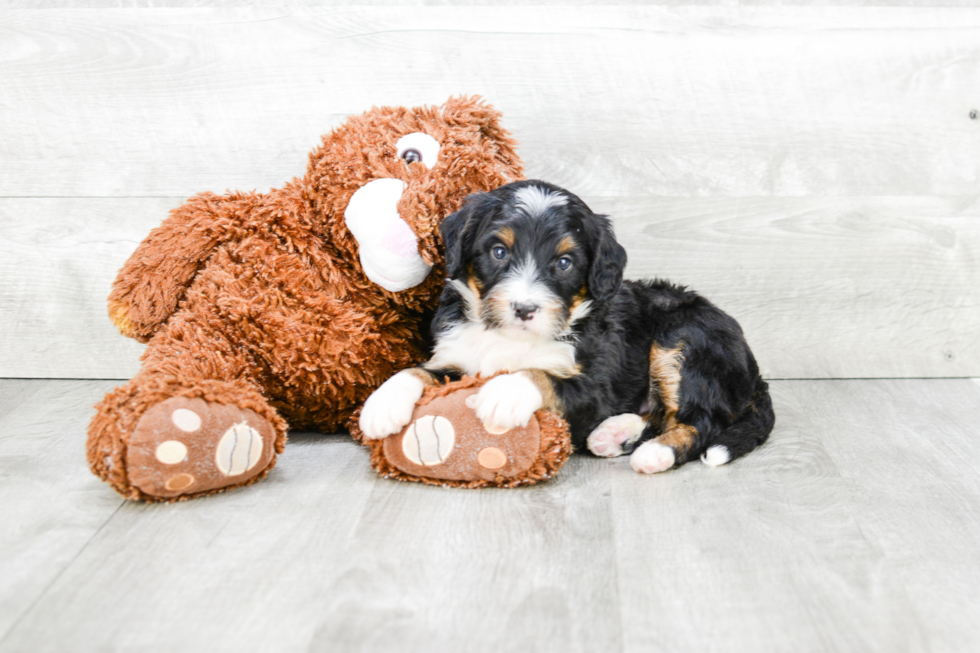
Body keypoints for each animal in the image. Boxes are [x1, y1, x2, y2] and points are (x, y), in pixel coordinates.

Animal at [360, 180, 772, 474]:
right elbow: (420, 370)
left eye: (564, 263)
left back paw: (655, 453)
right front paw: (382, 404)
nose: (525, 308)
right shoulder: (459, 356)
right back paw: (615, 434)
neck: (509, 338)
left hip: (684, 337)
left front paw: (505, 393)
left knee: (700, 419)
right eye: (498, 252)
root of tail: (754, 371)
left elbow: (542, 376)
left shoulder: (595, 384)